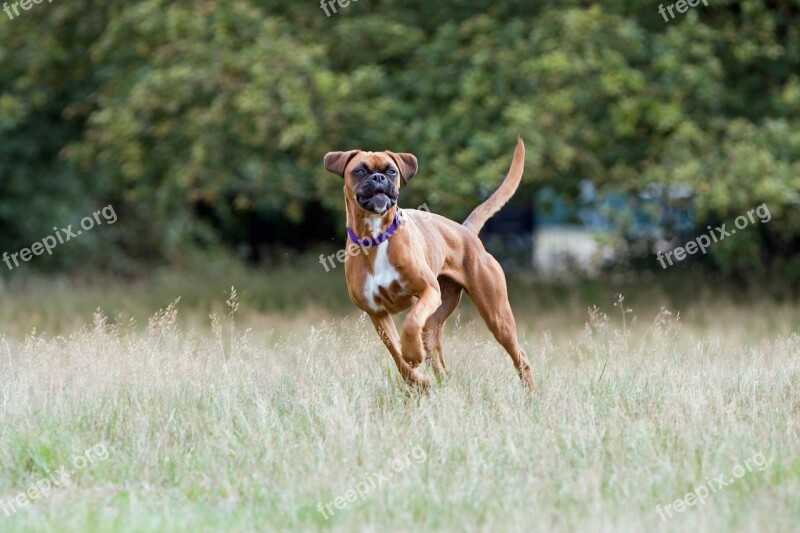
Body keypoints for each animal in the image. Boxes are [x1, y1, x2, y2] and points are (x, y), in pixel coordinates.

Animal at [322, 137, 536, 388]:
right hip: (434, 327)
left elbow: (411, 322)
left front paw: (413, 353)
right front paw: (417, 379)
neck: (376, 237)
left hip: (497, 317)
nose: (378, 178)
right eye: (360, 170)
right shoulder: (377, 313)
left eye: (392, 171)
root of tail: (465, 231)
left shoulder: (428, 291)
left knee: (520, 356)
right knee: (441, 366)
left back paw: (531, 393)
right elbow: (396, 353)